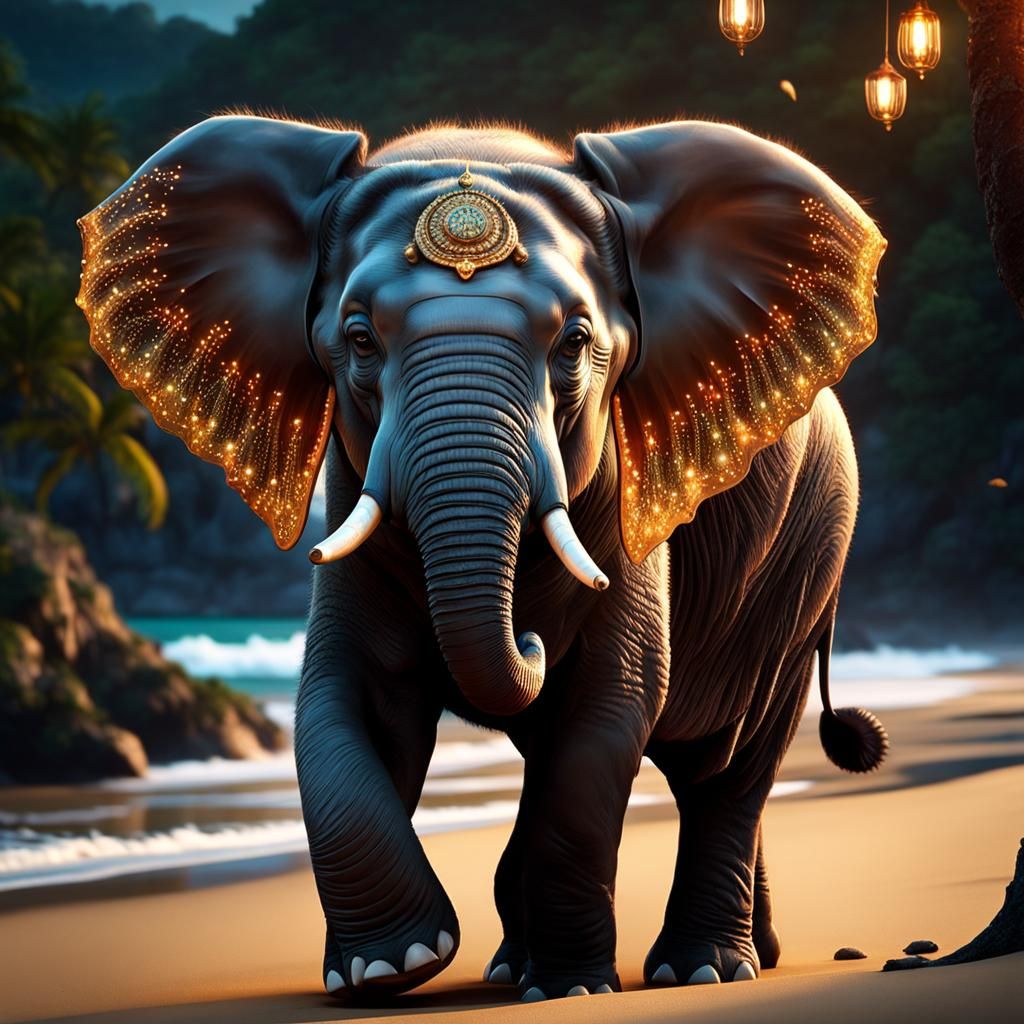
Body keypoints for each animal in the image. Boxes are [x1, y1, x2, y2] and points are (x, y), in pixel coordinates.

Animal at [77, 113, 890, 1002]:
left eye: (574, 343)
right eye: (359, 339)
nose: (532, 639)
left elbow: (611, 701)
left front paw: (570, 990)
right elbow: (347, 698)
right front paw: (388, 968)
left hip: (805, 561)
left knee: (728, 767)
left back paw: (699, 968)